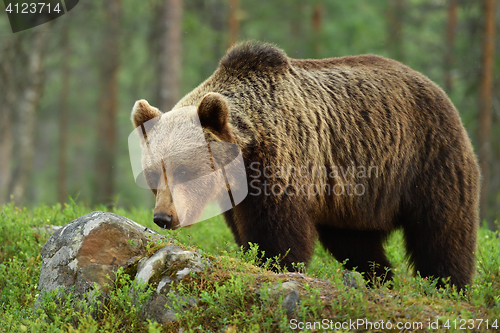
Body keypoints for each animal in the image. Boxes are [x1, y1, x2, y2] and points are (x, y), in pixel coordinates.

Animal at [132, 40, 480, 288]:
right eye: (153, 174)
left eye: (185, 170)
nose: (163, 217)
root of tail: (437, 88)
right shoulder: (237, 194)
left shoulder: (282, 164)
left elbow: (278, 232)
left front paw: (275, 264)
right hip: (354, 202)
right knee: (357, 244)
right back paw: (380, 279)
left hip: (429, 158)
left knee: (442, 232)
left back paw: (447, 286)